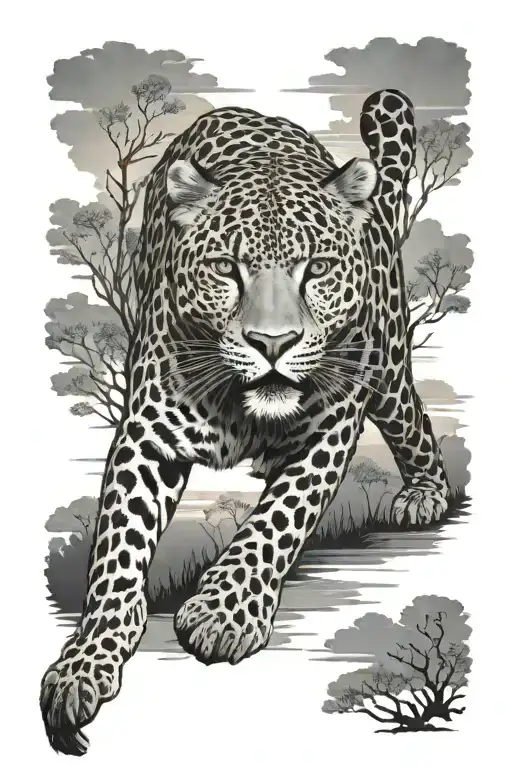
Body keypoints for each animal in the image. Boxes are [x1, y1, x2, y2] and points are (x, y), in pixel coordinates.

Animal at [40, 89, 449, 755]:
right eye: (227, 268)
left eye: (316, 269)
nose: (273, 343)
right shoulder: (147, 437)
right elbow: (117, 555)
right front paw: (84, 664)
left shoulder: (332, 421)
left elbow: (280, 517)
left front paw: (223, 614)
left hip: (384, 359)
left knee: (411, 421)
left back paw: (424, 491)